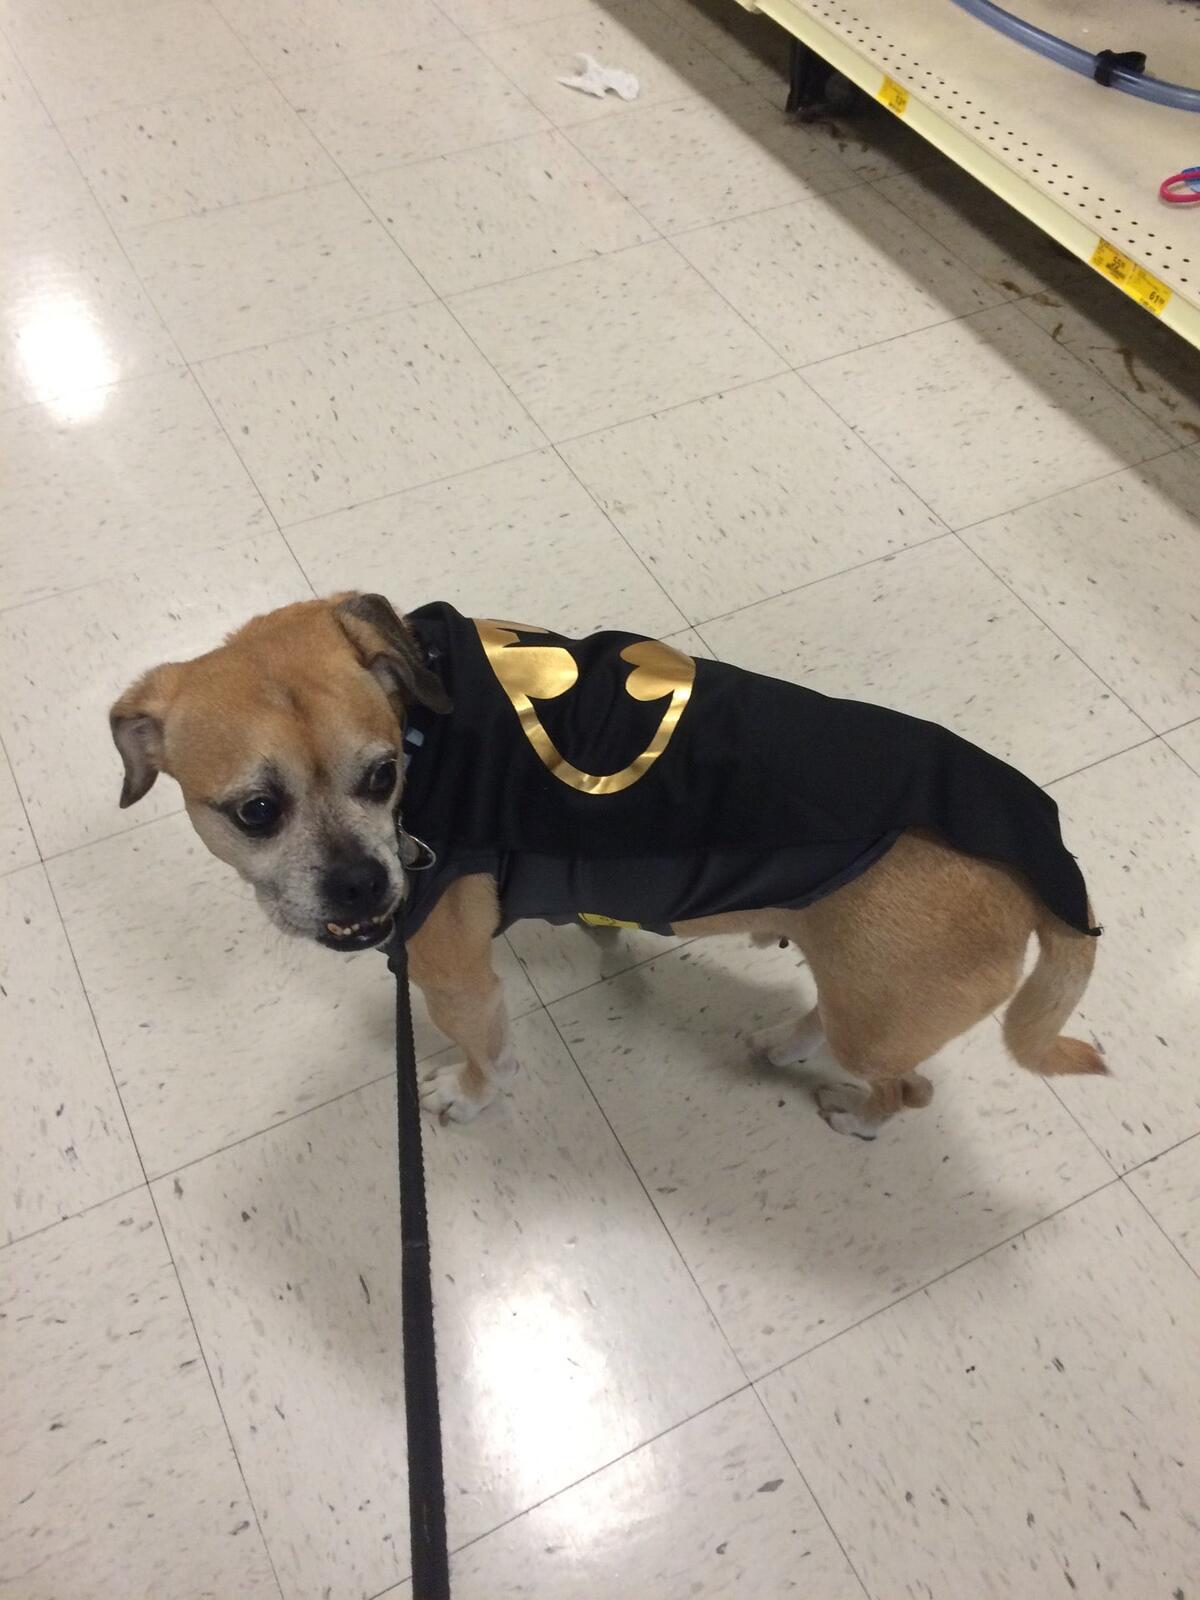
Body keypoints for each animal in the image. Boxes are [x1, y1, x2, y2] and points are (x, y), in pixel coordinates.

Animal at [110, 592, 1105, 1139]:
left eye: (382, 774)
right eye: (257, 811)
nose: (365, 886)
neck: (430, 726)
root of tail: (1039, 864)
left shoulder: (460, 984)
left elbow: (489, 1061)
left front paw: (468, 1098)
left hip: (883, 1022)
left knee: (907, 1085)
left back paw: (857, 1119)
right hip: (864, 994)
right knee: (831, 1021)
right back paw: (786, 1046)